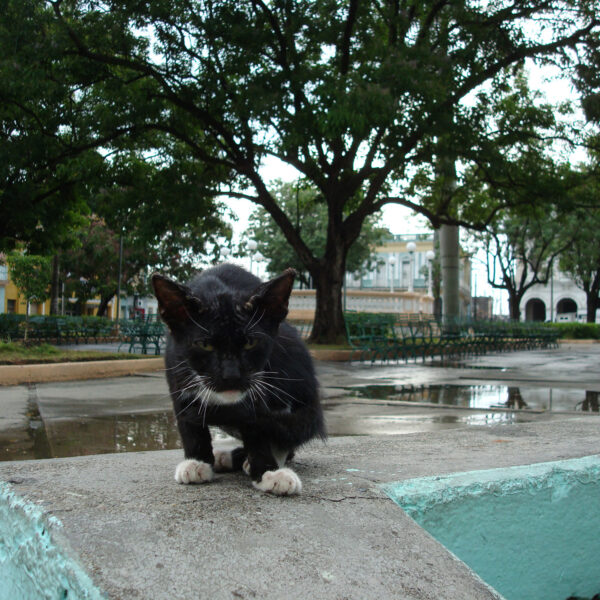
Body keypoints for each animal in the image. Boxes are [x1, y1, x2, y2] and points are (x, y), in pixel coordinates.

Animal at [152, 264, 326, 494]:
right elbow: (187, 418)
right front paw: (197, 461)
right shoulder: (175, 365)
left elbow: (256, 424)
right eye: (205, 345)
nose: (231, 375)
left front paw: (268, 472)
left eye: (251, 343)